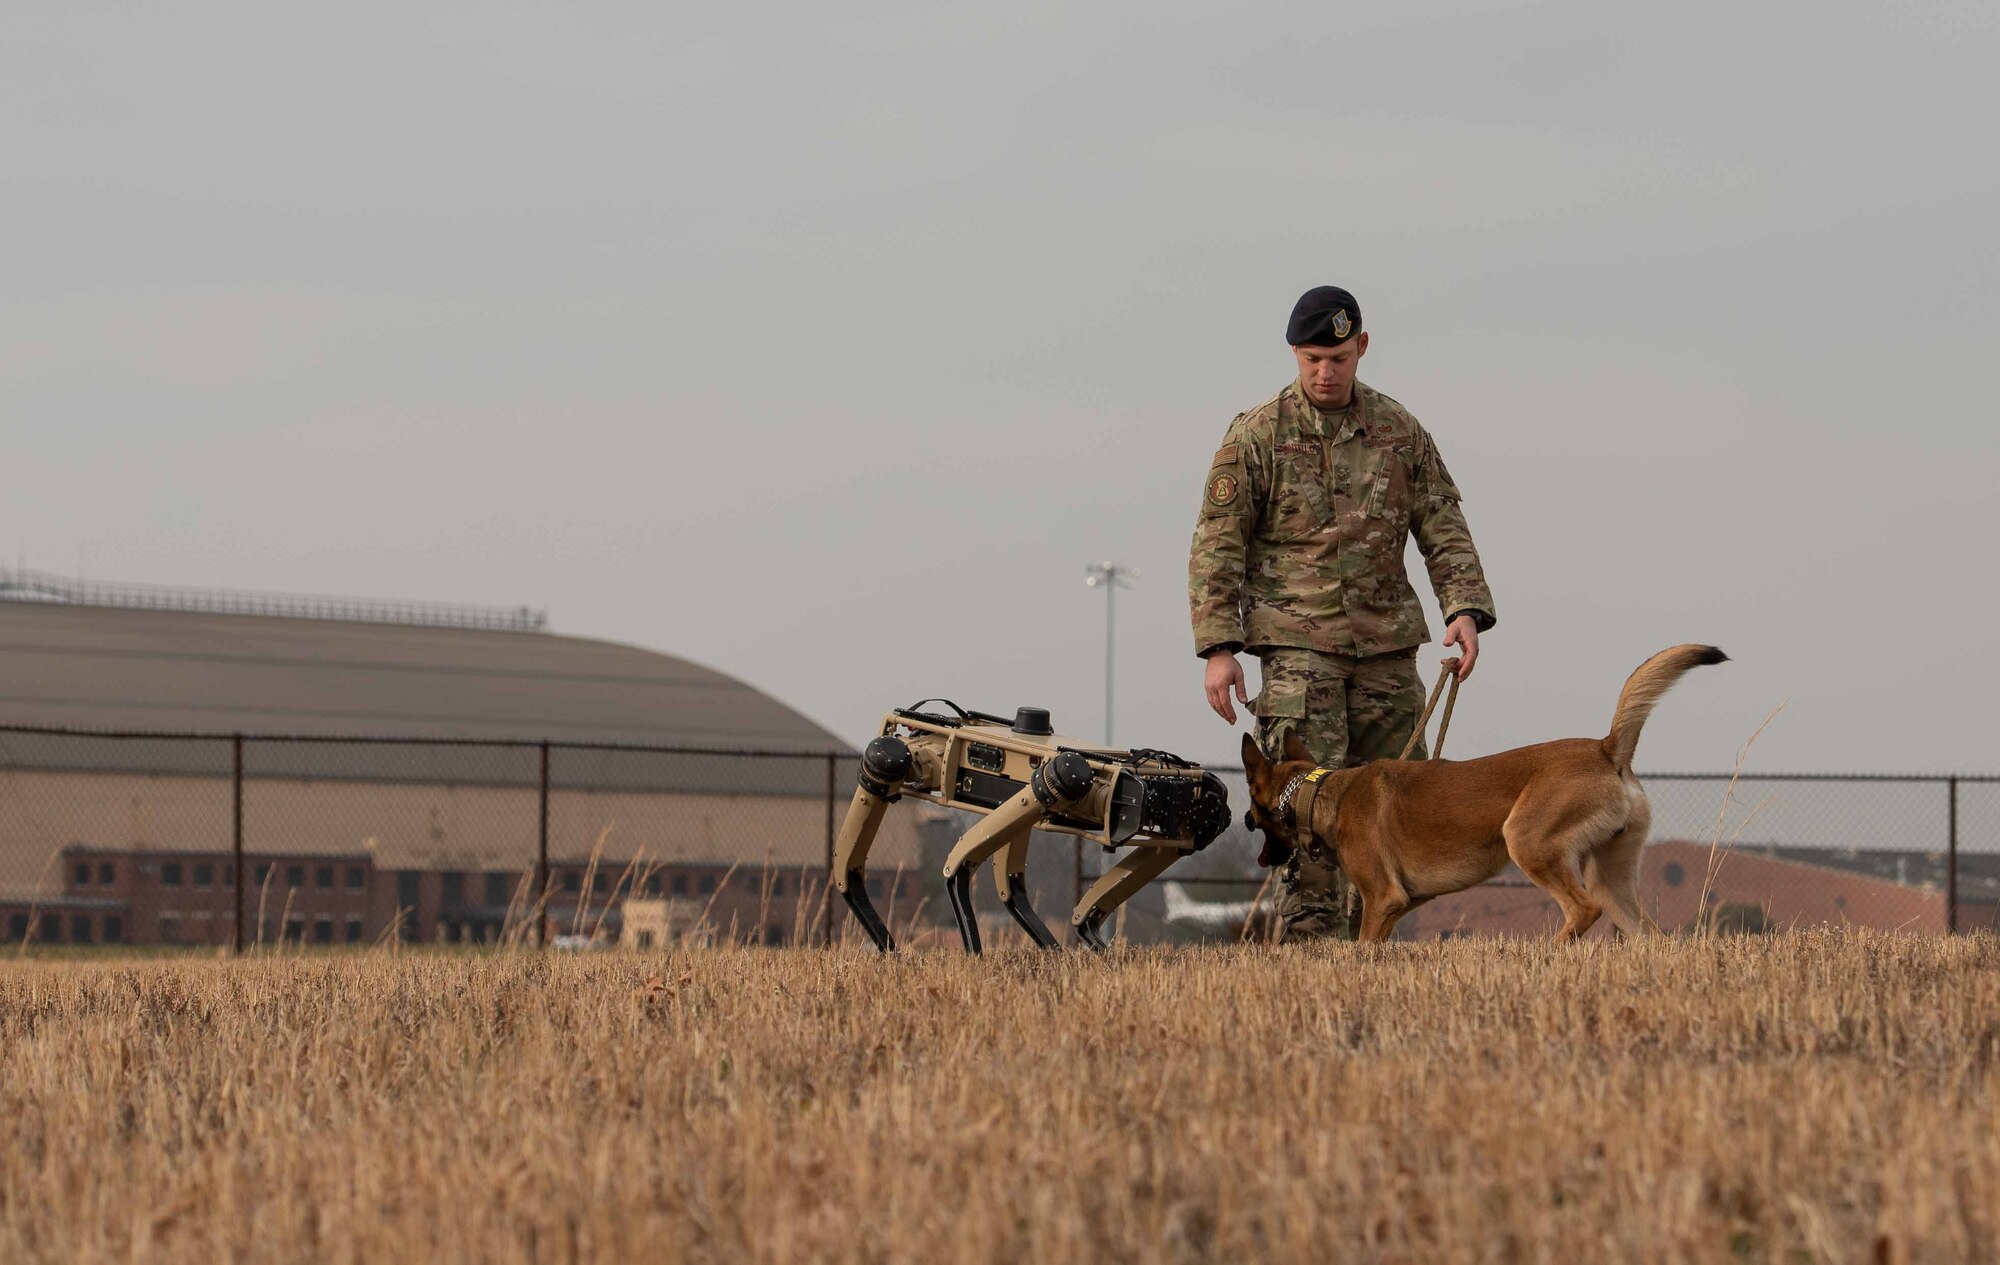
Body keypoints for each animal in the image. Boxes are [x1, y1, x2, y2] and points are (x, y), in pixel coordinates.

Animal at [1240, 640, 1728, 940]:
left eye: (1253, 810)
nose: (1242, 819)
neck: (1323, 791)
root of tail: (1606, 749)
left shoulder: (1382, 898)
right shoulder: (1403, 904)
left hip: (1529, 841)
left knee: (1583, 910)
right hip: (1611, 875)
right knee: (1650, 935)